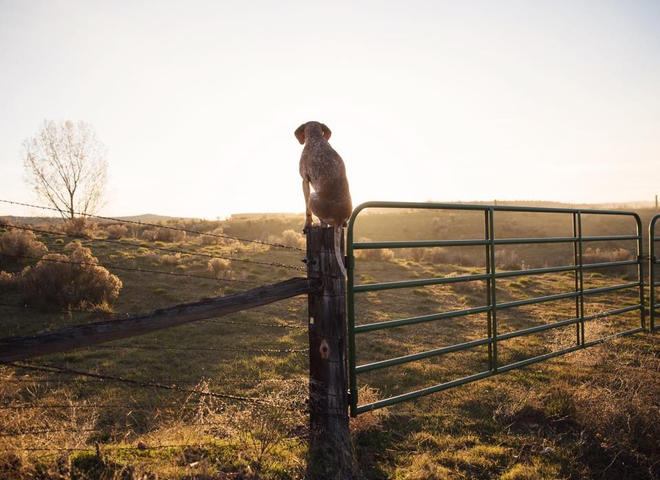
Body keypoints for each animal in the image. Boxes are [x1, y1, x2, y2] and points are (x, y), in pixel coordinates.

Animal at [296, 121, 354, 278]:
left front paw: (307, 224)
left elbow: (307, 211)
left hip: (312, 196)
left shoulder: (304, 180)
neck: (316, 138)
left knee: (323, 224)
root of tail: (339, 219)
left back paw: (317, 223)